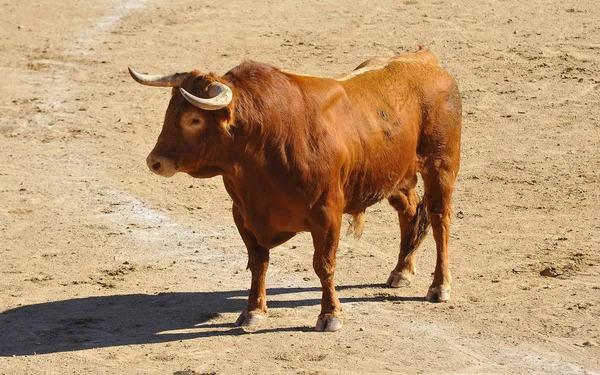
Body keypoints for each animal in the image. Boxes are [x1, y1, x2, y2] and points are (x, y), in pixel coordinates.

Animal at [129, 46, 462, 332]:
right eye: (170, 111)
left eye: (194, 119)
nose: (154, 161)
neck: (263, 140)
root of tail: (427, 60)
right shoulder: (243, 214)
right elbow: (258, 263)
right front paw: (253, 311)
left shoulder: (327, 215)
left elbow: (323, 265)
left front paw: (330, 316)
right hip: (393, 176)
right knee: (410, 211)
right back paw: (401, 271)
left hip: (441, 167)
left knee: (439, 219)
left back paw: (439, 286)